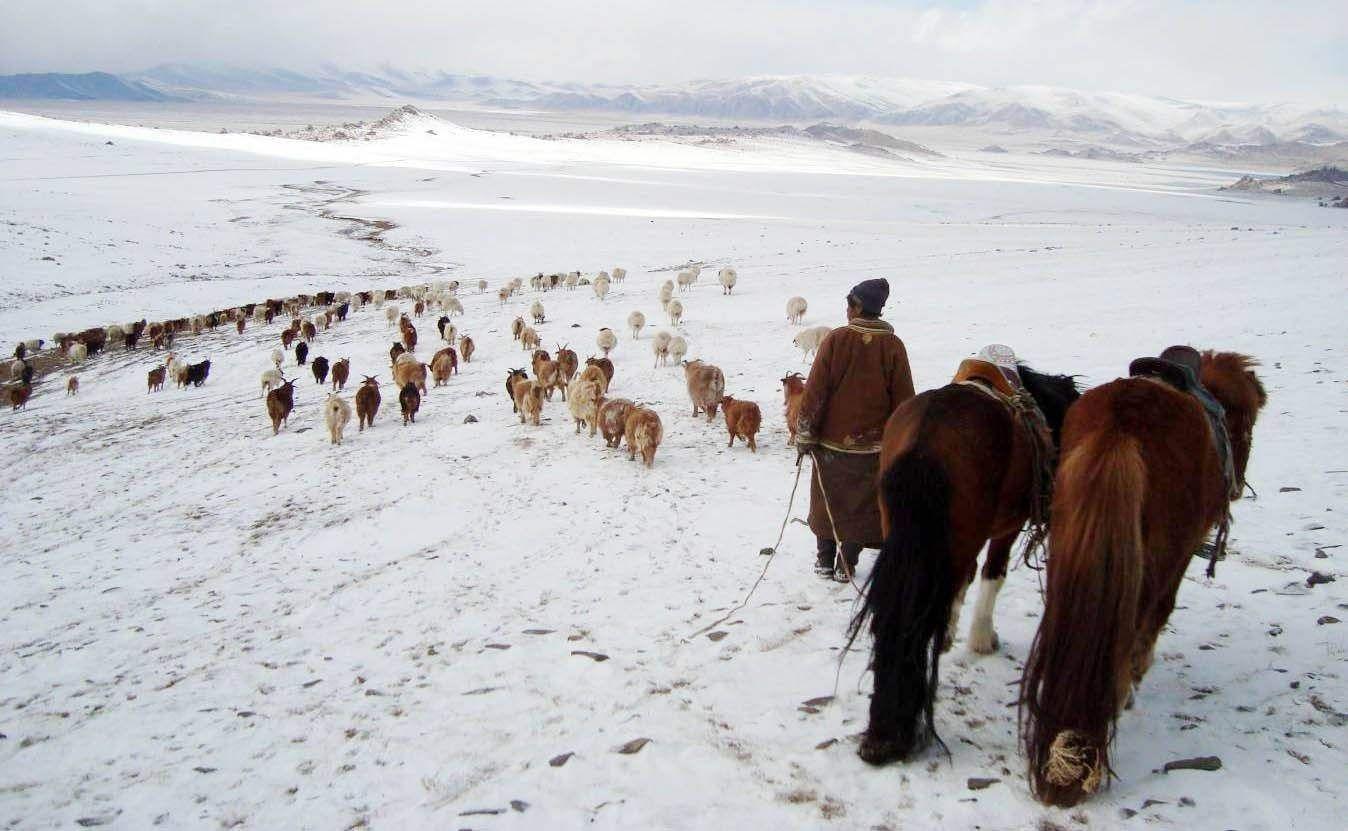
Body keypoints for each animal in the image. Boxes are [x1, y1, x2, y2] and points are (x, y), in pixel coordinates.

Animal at [846, 364, 1078, 766]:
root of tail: (926, 440)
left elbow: (962, 582)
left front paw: (950, 633)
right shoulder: (1005, 527)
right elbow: (991, 575)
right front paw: (982, 638)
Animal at [1019, 350, 1261, 804]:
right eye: (1249, 424)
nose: (1235, 488)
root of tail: (1122, 426)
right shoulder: (1178, 558)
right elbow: (1157, 618)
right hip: (1155, 558)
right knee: (1135, 622)